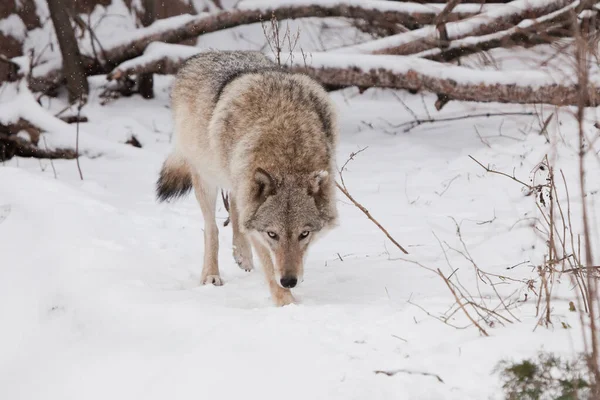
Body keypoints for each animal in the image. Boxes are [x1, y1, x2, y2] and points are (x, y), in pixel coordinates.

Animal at [156, 50, 338, 306]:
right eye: (272, 234)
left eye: (304, 234)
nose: (290, 281)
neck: (287, 146)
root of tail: (203, 54)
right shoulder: (259, 231)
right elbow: (270, 267)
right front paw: (287, 303)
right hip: (207, 176)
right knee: (211, 228)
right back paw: (211, 275)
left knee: (235, 209)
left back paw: (242, 255)